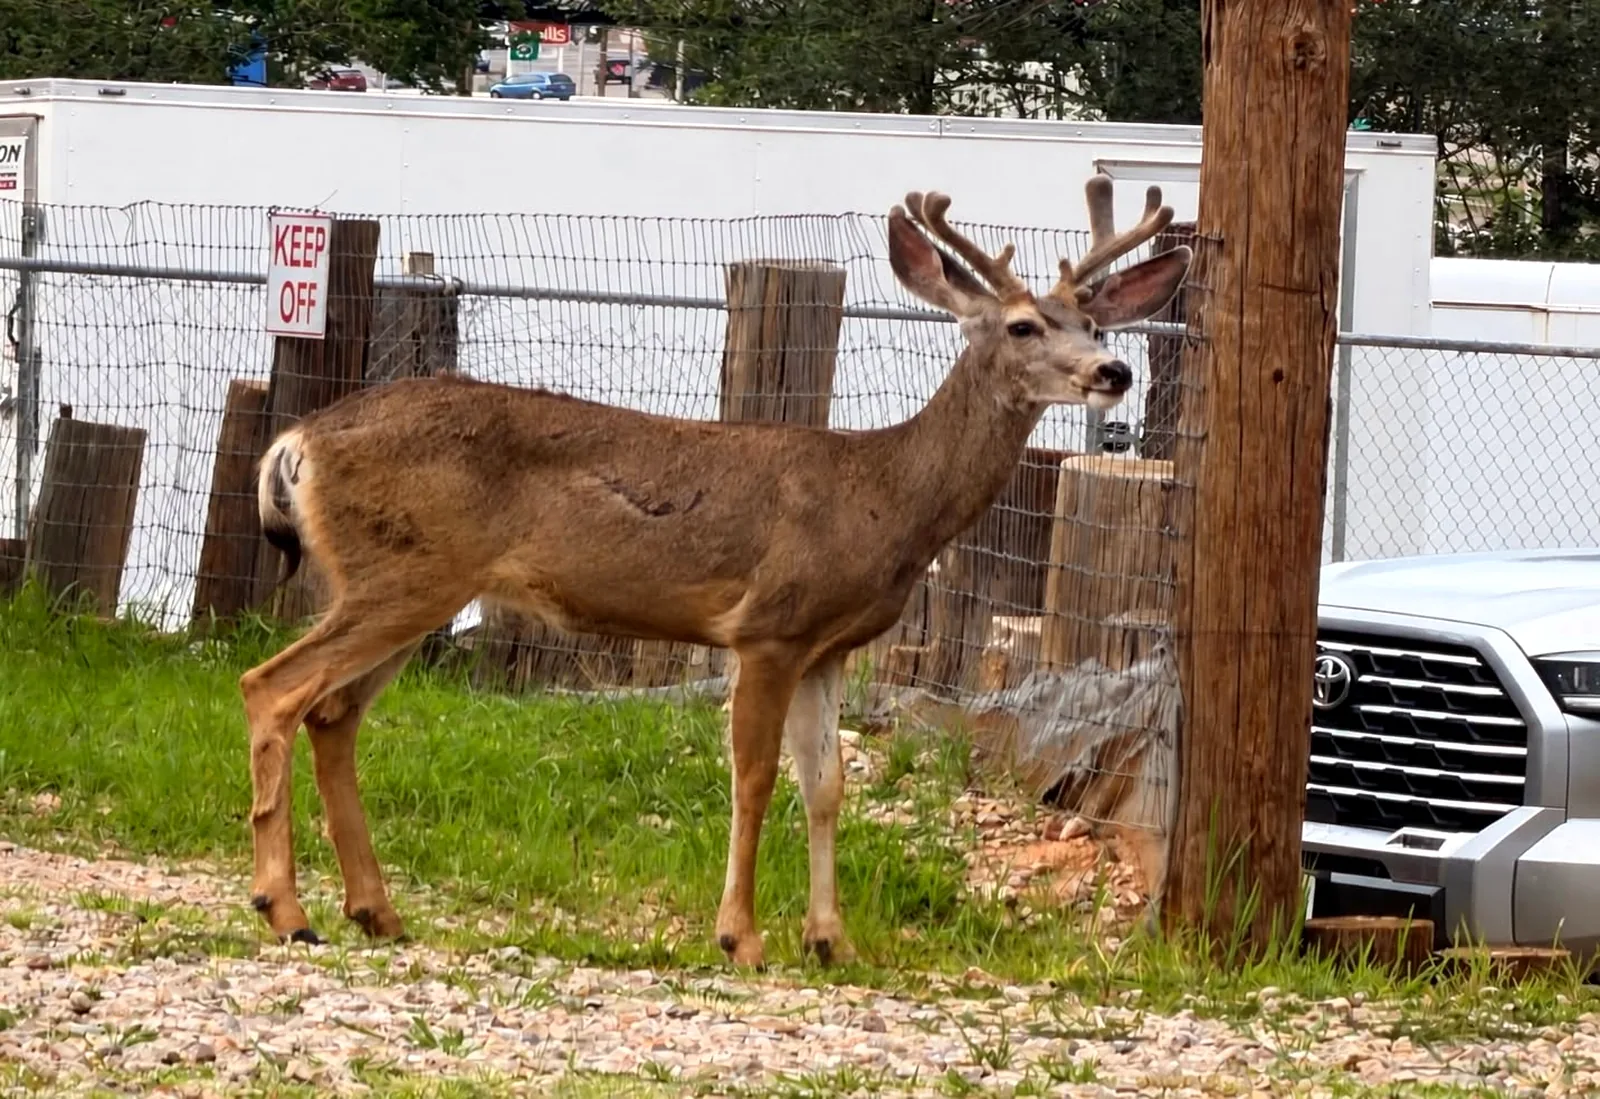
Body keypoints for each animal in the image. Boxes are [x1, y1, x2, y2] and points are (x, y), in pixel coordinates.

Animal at [238, 173, 1191, 968]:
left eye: (1096, 324)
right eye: (1025, 325)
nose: (1113, 370)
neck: (885, 496)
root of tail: (298, 440)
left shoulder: (828, 647)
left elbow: (827, 787)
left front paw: (831, 940)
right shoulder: (769, 625)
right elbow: (756, 777)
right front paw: (742, 936)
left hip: (420, 582)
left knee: (333, 714)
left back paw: (375, 910)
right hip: (403, 572)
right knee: (272, 685)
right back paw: (287, 909)